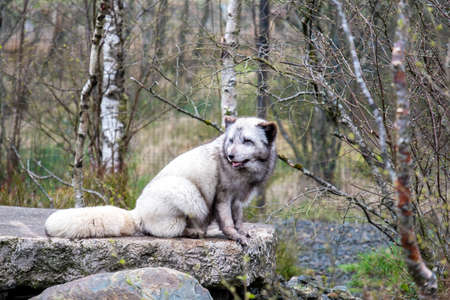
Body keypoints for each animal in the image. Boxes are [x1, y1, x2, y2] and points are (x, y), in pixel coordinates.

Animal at [46, 116, 278, 245]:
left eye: (247, 141)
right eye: (230, 141)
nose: (230, 155)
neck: (244, 173)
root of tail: (138, 212)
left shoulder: (237, 200)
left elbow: (238, 219)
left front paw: (243, 232)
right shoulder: (222, 196)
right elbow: (228, 222)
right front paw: (234, 236)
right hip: (190, 195)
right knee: (168, 231)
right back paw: (194, 232)